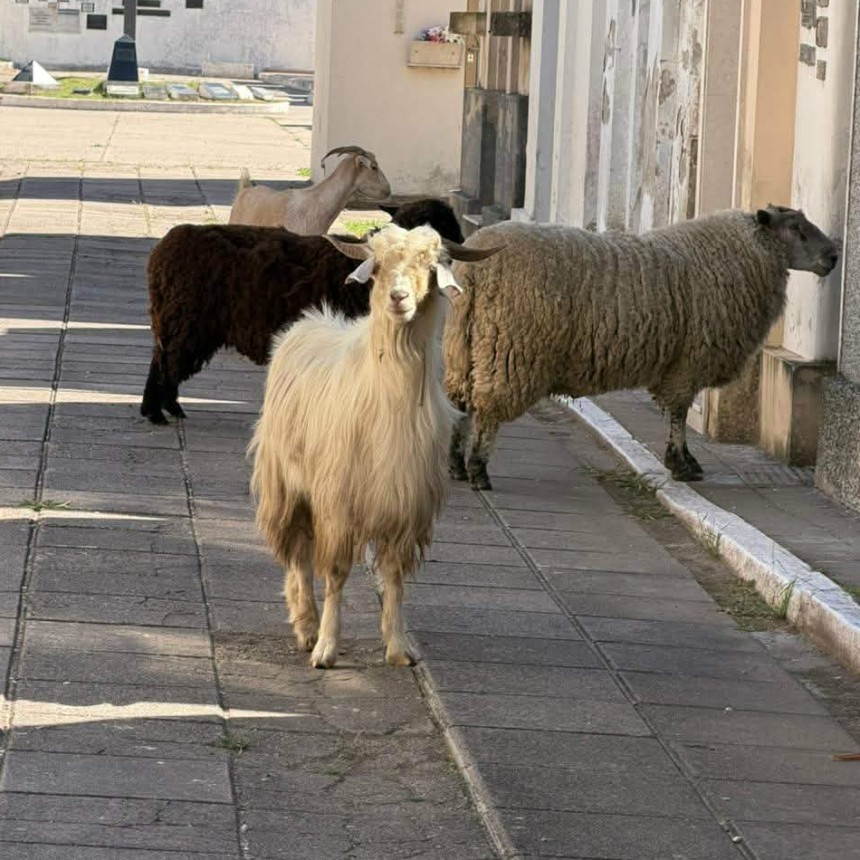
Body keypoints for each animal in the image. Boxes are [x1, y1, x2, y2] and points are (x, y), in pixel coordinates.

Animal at [140, 200, 464, 425]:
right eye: (443, 227)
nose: (461, 248)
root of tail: (163, 251)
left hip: (176, 318)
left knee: (162, 358)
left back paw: (166, 408)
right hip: (186, 319)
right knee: (166, 360)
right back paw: (157, 412)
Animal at [248, 224, 502, 668]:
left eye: (431, 264)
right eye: (379, 265)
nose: (398, 298)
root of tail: (308, 322)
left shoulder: (406, 505)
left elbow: (394, 577)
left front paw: (398, 647)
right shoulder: (339, 501)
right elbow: (334, 573)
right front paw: (326, 648)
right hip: (286, 484)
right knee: (298, 554)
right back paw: (306, 625)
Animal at [444, 205, 839, 489]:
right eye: (797, 229)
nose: (834, 256)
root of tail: (474, 270)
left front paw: (683, 461)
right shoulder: (688, 362)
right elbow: (678, 413)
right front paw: (682, 463)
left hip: (464, 347)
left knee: (461, 405)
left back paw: (456, 465)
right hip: (511, 349)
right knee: (487, 409)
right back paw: (478, 470)